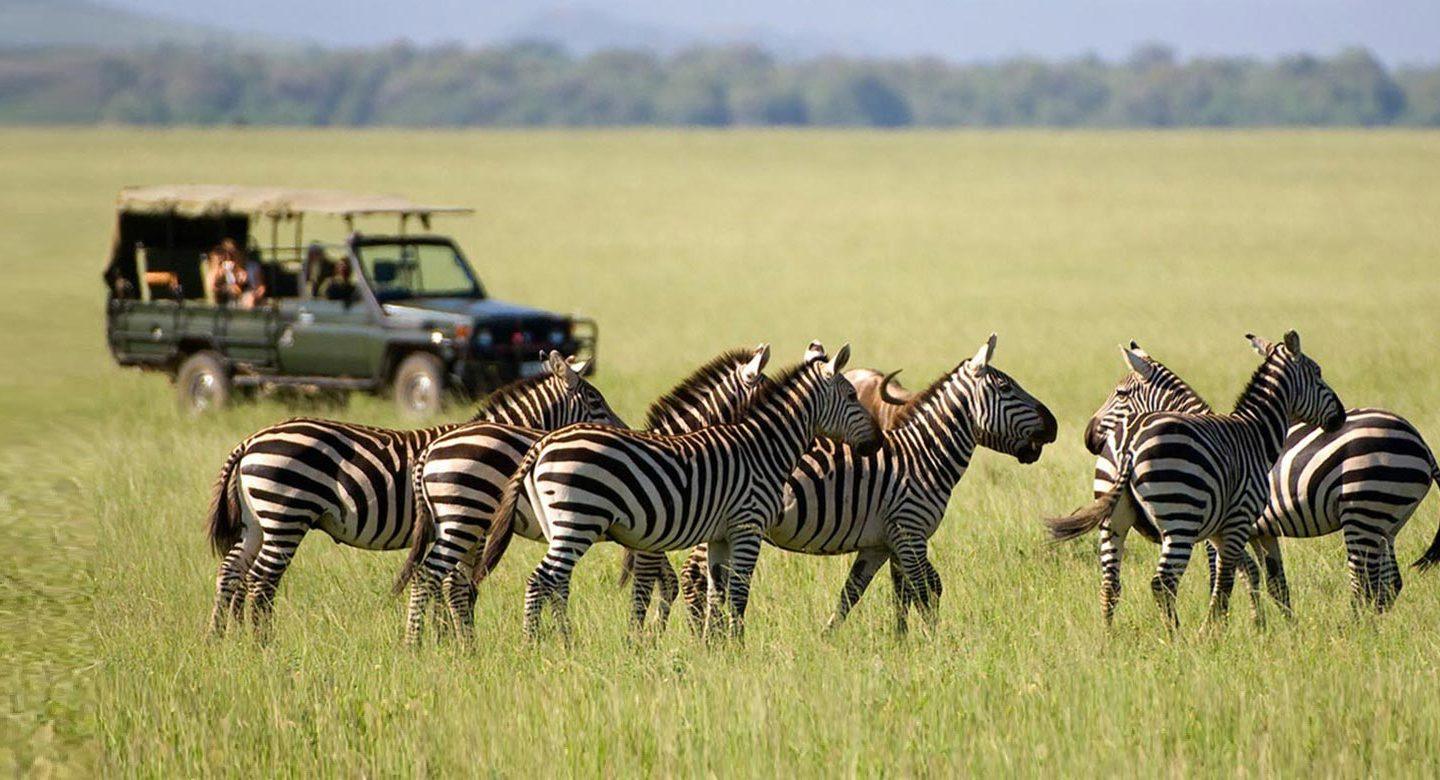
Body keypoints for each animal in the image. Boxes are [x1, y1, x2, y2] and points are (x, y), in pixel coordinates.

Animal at [205, 351, 622, 638]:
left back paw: (222, 639)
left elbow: (450, 588)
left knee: (232, 571)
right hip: (286, 514)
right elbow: (457, 588)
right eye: (596, 402)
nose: (624, 431)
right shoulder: (472, 525)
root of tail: (249, 442)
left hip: (258, 520)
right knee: (262, 580)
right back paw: (262, 642)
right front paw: (453, 641)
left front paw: (445, 640)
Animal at [400, 345, 771, 644]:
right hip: (467, 518)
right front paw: (643, 640)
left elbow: (666, 583)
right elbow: (654, 585)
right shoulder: (651, 540)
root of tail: (431, 449)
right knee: (443, 579)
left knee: (450, 582)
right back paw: (435, 644)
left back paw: (455, 643)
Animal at [489, 343, 881, 641]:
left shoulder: (720, 535)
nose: (877, 442)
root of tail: (544, 443)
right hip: (577, 521)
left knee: (554, 582)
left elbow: (715, 591)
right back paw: (530, 645)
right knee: (541, 580)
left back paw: (558, 642)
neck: (761, 447)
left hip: (559, 526)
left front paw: (715, 647)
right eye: (851, 395)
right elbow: (734, 593)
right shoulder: (746, 527)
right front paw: (732, 647)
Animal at [673, 335, 1059, 636]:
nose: (1054, 425)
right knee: (694, 577)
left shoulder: (883, 544)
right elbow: (926, 590)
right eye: (1007, 388)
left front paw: (871, 642)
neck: (923, 456)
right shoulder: (910, 532)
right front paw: (935, 648)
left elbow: (866, 595)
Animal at [1048, 333, 1336, 633]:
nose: (1089, 437)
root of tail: (1129, 443)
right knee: (1162, 583)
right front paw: (1220, 629)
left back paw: (1109, 637)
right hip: (1180, 520)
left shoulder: (1225, 529)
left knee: (1111, 584)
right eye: (1319, 375)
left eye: (1121, 394)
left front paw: (1252, 626)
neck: (1255, 433)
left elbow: (1245, 573)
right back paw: (1177, 637)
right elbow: (1226, 577)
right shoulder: (1233, 523)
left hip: (1115, 521)